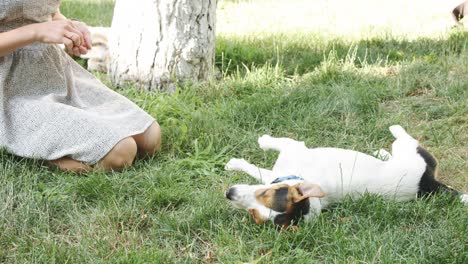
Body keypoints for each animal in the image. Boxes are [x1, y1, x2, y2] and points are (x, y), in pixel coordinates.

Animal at [225, 125, 466, 228]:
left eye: (266, 194)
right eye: (254, 215)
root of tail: (430, 183)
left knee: (403, 137)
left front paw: (257, 145)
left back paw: (394, 129)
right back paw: (381, 152)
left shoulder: (293, 149)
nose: (229, 193)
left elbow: (267, 152)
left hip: (409, 151)